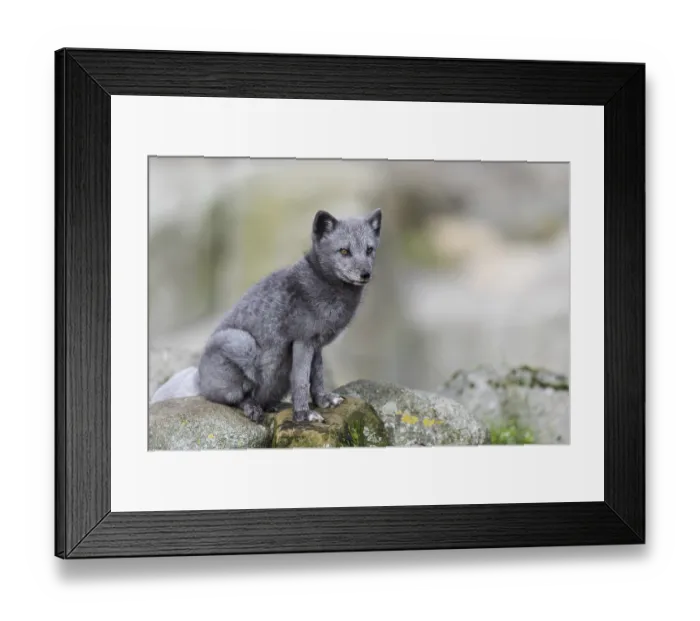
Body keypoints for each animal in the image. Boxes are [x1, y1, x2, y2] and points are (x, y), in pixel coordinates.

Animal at [150, 207, 382, 424]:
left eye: (369, 250)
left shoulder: (317, 345)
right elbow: (301, 381)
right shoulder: (302, 341)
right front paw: (303, 414)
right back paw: (252, 408)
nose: (365, 274)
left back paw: (270, 405)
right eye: (344, 251)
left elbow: (316, 378)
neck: (321, 283)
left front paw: (323, 401)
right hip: (243, 344)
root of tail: (198, 378)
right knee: (231, 399)